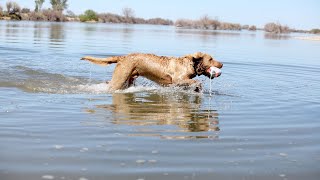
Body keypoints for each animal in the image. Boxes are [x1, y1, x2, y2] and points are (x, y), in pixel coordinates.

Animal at [81, 52, 224, 91]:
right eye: (210, 59)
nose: (222, 64)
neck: (190, 64)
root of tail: (122, 57)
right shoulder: (177, 80)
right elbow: (195, 81)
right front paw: (199, 87)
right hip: (119, 79)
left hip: (128, 80)